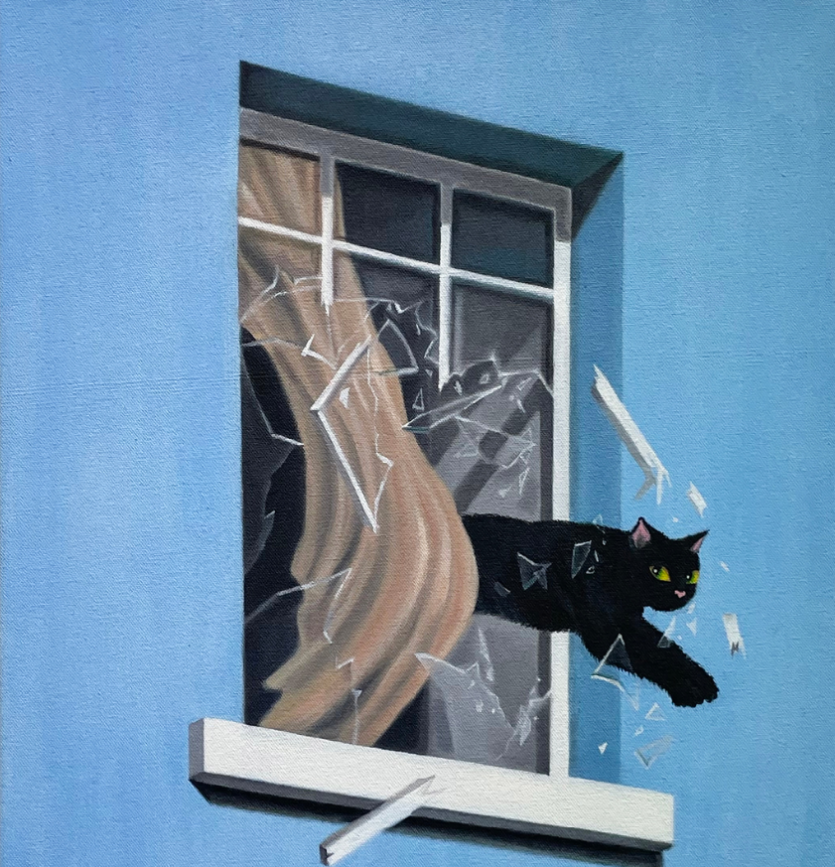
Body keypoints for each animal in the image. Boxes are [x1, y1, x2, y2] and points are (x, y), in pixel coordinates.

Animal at [464, 514, 718, 707]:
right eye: (658, 571)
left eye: (691, 575)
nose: (681, 592)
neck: (613, 564)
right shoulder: (607, 631)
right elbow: (651, 654)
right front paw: (687, 688)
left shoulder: (629, 620)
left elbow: (666, 647)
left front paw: (701, 680)